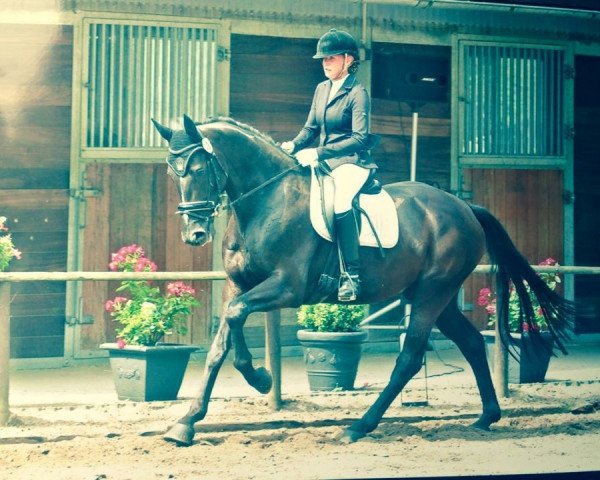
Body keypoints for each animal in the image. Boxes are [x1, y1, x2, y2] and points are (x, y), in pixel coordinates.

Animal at [150, 113, 572, 446]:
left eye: (198, 169)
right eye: (172, 172)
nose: (194, 234)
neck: (265, 202)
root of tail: (464, 207)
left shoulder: (288, 287)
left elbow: (236, 317)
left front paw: (260, 378)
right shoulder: (238, 285)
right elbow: (222, 340)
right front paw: (187, 422)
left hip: (432, 293)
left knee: (409, 357)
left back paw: (358, 427)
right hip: (436, 295)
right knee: (469, 342)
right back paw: (486, 417)